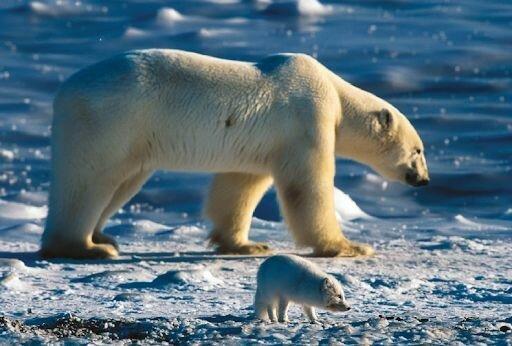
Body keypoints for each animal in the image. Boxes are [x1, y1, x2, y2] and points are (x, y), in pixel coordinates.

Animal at [40, 49, 428, 260]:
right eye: (418, 150)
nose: (424, 180)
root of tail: (63, 92)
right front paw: (348, 246)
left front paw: (246, 244)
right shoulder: (307, 120)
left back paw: (103, 236)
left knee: (123, 183)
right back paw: (84, 247)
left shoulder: (264, 142)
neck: (334, 92)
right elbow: (307, 187)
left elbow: (240, 185)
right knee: (90, 180)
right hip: (112, 121)